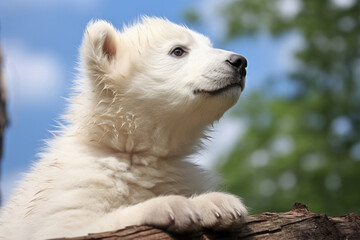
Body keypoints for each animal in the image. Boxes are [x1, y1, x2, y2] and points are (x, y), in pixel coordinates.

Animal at [0, 17, 248, 239]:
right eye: (178, 50)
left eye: (208, 44)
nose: (240, 62)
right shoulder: (71, 188)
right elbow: (72, 228)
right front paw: (173, 206)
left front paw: (220, 204)